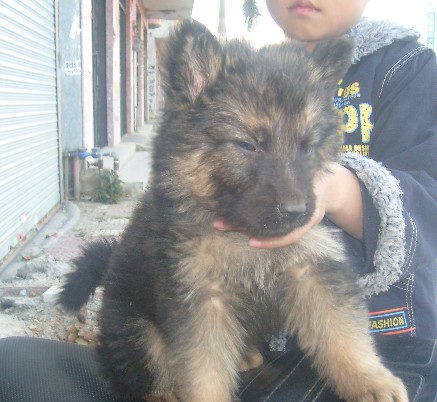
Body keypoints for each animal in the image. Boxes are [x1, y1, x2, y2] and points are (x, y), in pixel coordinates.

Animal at [59, 20, 408, 402]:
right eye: (247, 145)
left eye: (307, 146)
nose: (296, 210)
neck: (241, 234)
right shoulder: (200, 300)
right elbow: (202, 371)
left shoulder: (314, 270)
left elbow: (341, 332)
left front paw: (369, 380)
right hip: (135, 326)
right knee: (142, 370)